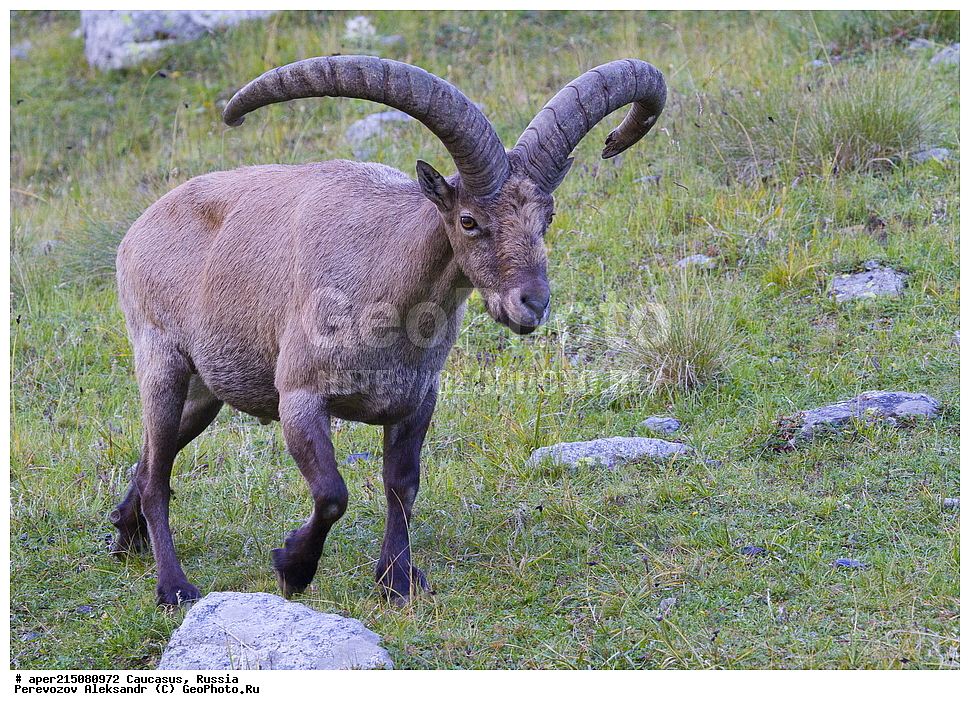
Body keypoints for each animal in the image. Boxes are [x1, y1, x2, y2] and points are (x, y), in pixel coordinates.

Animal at [111, 55, 666, 605]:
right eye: (468, 220)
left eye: (547, 217)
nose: (531, 303)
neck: (387, 293)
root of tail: (139, 228)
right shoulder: (300, 396)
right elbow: (332, 494)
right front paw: (293, 566)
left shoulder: (416, 399)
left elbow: (403, 484)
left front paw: (398, 580)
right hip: (162, 363)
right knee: (157, 475)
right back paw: (174, 586)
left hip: (206, 391)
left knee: (151, 459)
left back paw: (124, 533)